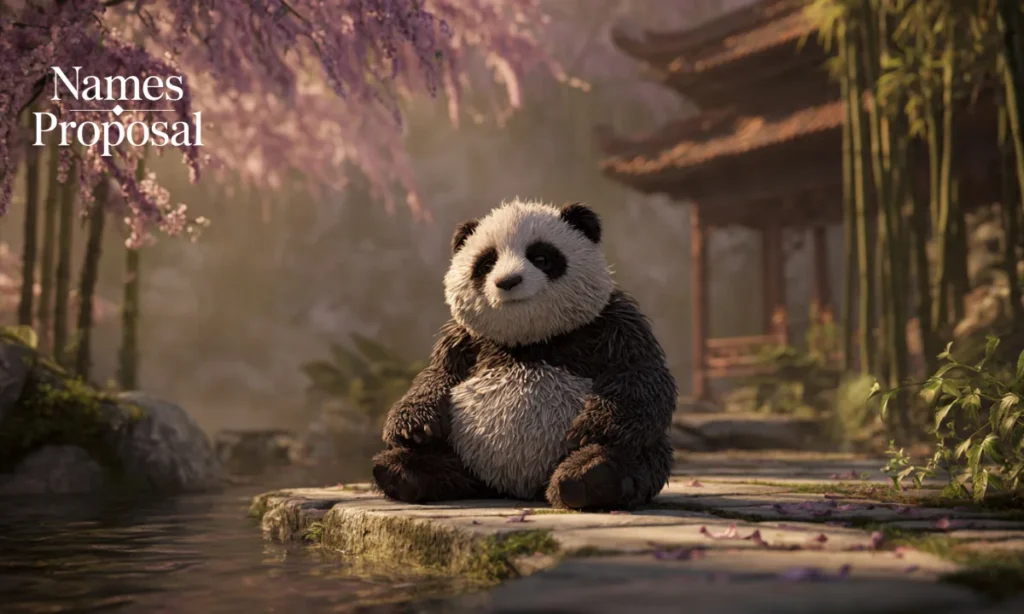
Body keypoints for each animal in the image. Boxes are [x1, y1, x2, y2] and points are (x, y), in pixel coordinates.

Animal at [371, 198, 676, 510]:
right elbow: (438, 375)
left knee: (633, 455)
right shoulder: (464, 339)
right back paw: (399, 472)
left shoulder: (611, 324)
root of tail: (515, 487)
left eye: (540, 257)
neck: (529, 342)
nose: (507, 281)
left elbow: (639, 375)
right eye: (487, 263)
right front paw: (414, 427)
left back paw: (591, 478)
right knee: (435, 460)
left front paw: (594, 427)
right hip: (464, 453)